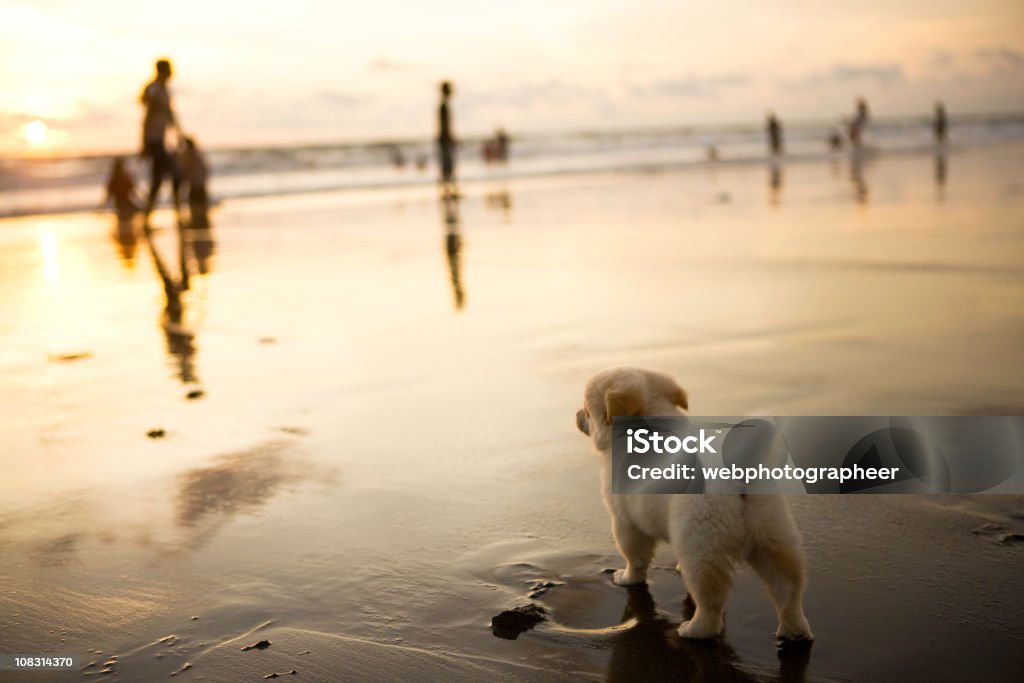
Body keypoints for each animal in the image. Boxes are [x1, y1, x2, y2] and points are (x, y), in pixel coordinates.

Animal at [581, 368, 811, 643]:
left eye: (586, 410)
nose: (576, 415)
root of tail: (738, 474)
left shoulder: (625, 522)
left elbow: (634, 557)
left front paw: (627, 579)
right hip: (773, 538)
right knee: (789, 591)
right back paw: (795, 631)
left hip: (701, 545)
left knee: (711, 601)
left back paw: (693, 630)